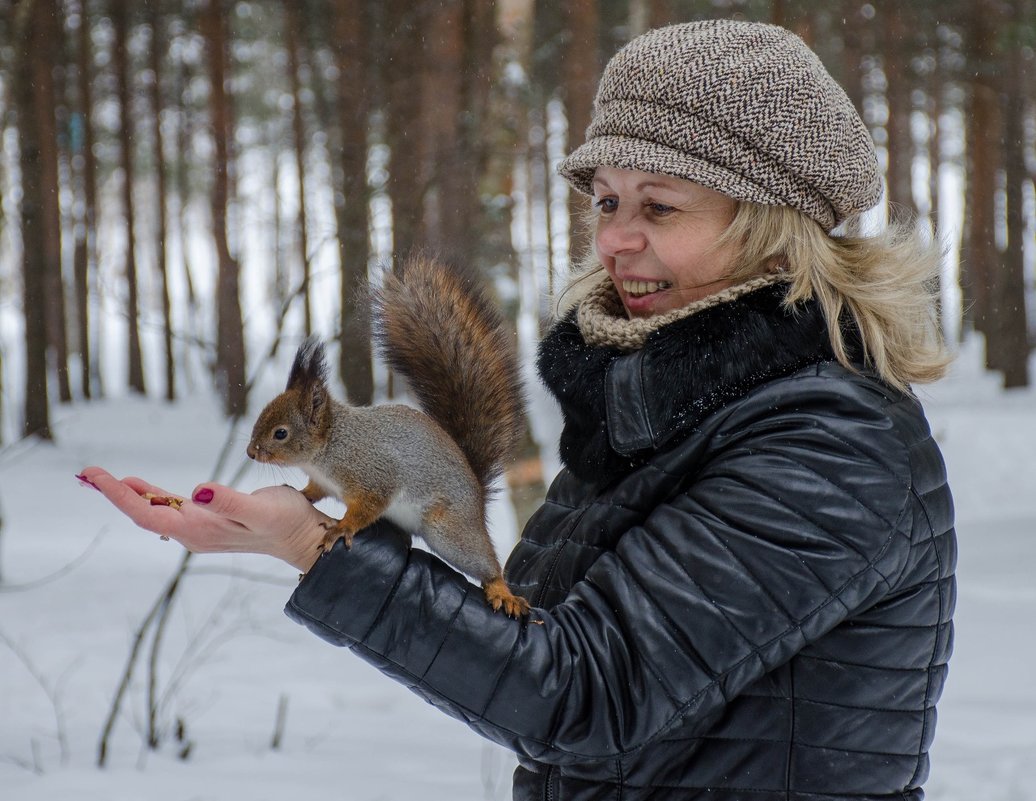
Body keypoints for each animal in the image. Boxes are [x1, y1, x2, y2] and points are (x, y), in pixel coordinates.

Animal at [246, 252, 530, 617]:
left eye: (280, 433)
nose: (251, 452)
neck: (329, 448)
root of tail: (477, 495)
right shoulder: (324, 482)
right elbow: (314, 492)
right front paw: (298, 494)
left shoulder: (372, 475)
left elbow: (368, 506)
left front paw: (342, 527)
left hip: (449, 530)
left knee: (485, 563)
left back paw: (501, 590)